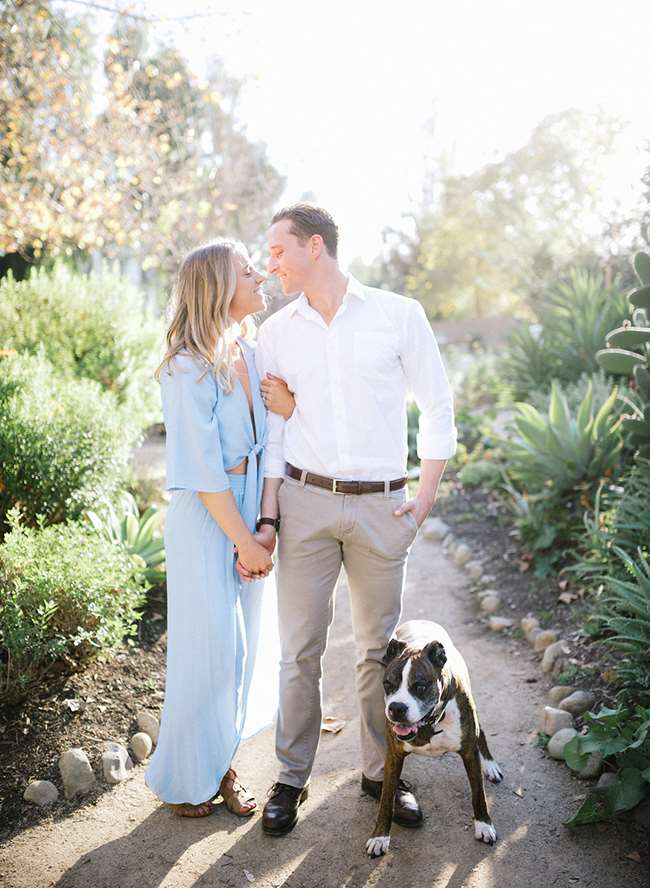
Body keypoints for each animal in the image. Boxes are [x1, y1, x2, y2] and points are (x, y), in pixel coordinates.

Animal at [364, 620, 502, 856]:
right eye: (388, 685)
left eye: (419, 686)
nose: (396, 708)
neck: (431, 723)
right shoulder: (393, 757)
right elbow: (386, 800)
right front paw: (379, 836)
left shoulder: (469, 752)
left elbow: (478, 793)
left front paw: (484, 825)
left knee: (481, 733)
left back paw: (491, 766)